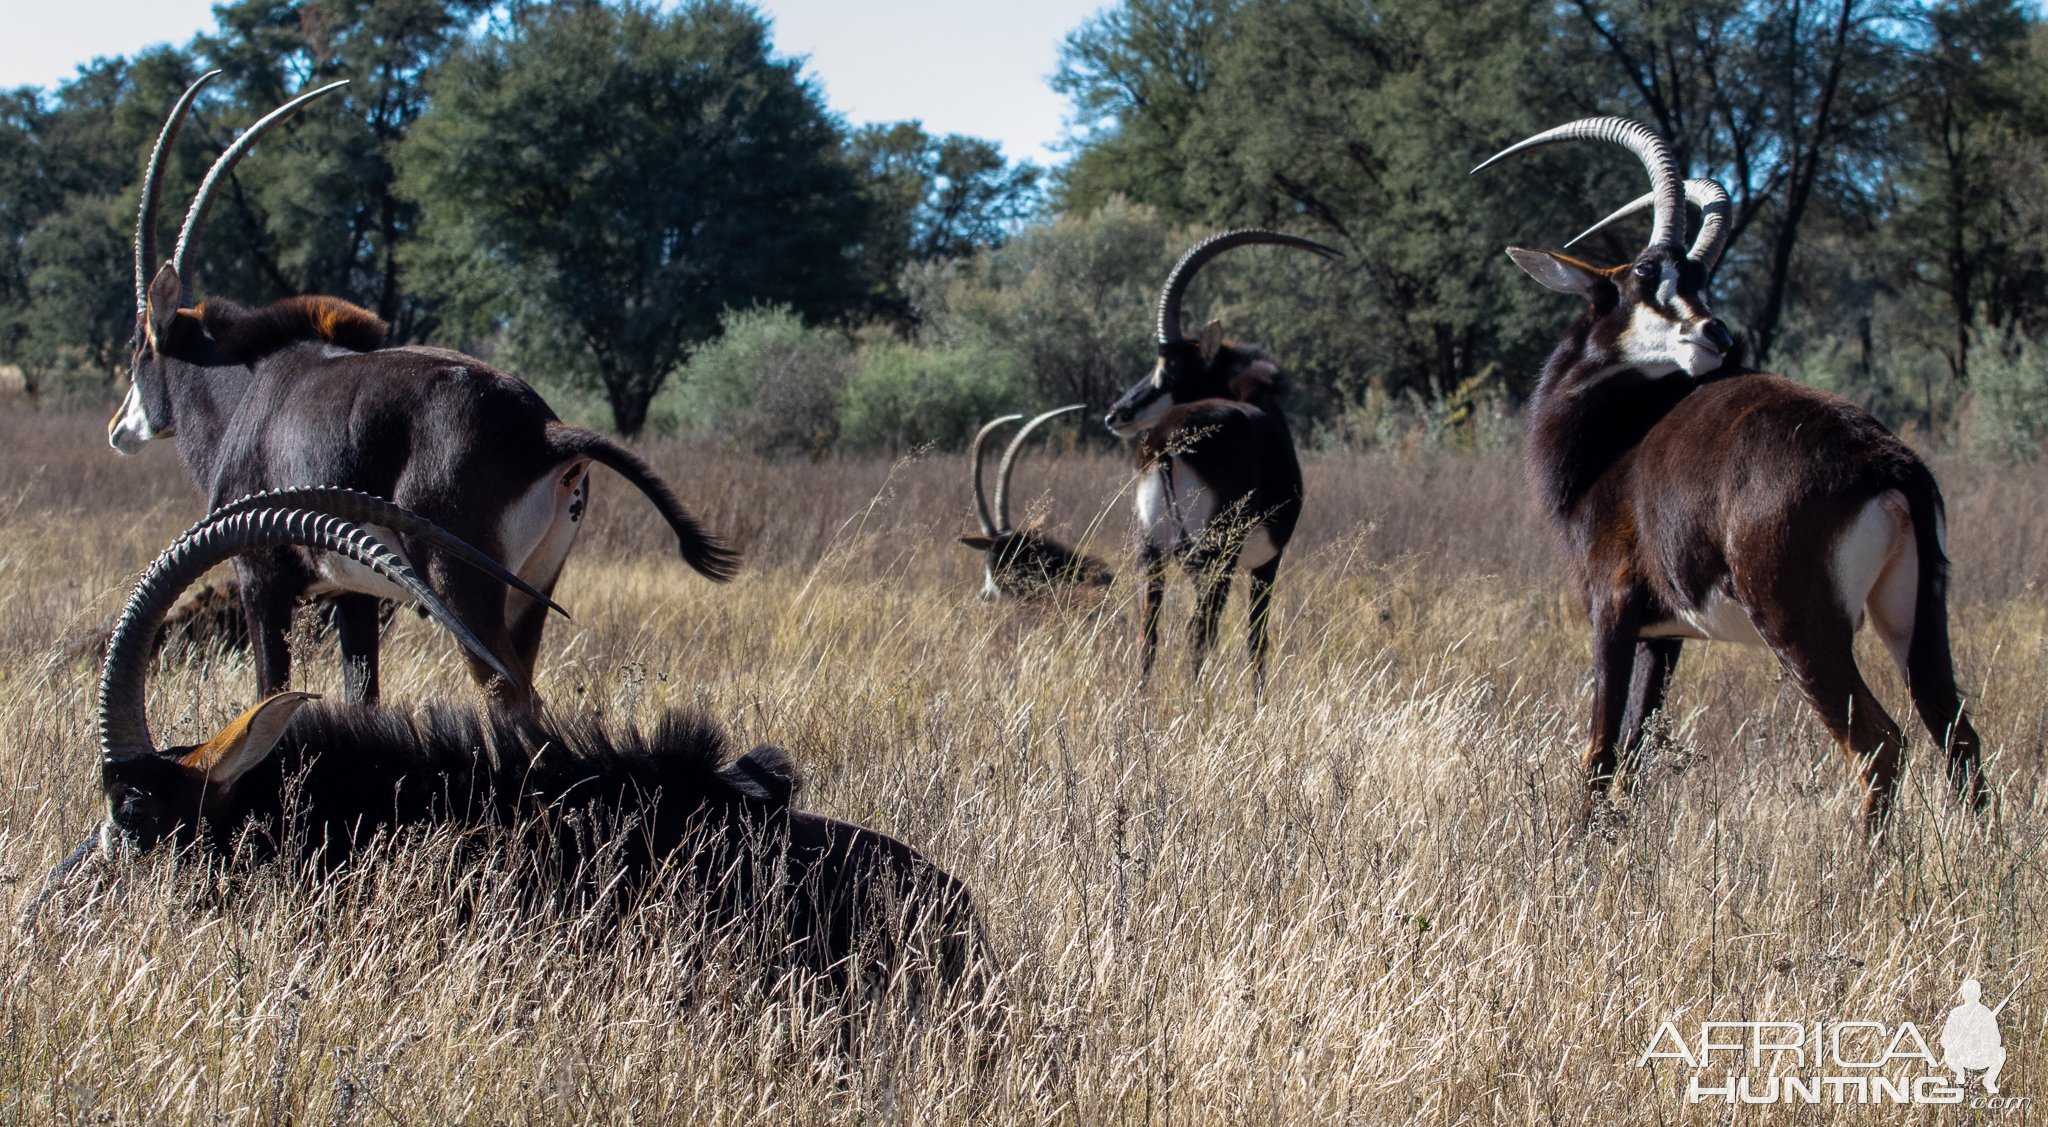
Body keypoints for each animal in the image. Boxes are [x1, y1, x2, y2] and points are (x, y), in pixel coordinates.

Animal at [110, 70, 737, 713]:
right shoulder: (354, 593)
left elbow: (271, 686)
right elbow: (362, 695)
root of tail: (545, 432)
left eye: (137, 345)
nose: (118, 430)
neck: (247, 389)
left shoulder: (261, 576)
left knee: (512, 698)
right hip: (531, 590)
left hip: (459, 587)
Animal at [1105, 227, 1343, 696]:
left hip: (1152, 551)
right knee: (1200, 634)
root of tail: (1168, 438)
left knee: (1148, 633)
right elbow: (1256, 639)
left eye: (1171, 369)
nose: (1116, 414)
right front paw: (1258, 703)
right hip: (1217, 557)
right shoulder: (1267, 563)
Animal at [1474, 119, 1982, 836]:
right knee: (1957, 736)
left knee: (1881, 743)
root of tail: (1890, 462)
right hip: (1914, 621)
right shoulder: (1664, 638)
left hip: (1801, 627)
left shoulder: (1612, 610)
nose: (1716, 333)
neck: (1617, 442)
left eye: (1698, 276)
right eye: (1646, 274)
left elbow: (1601, 749)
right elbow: (1635, 750)